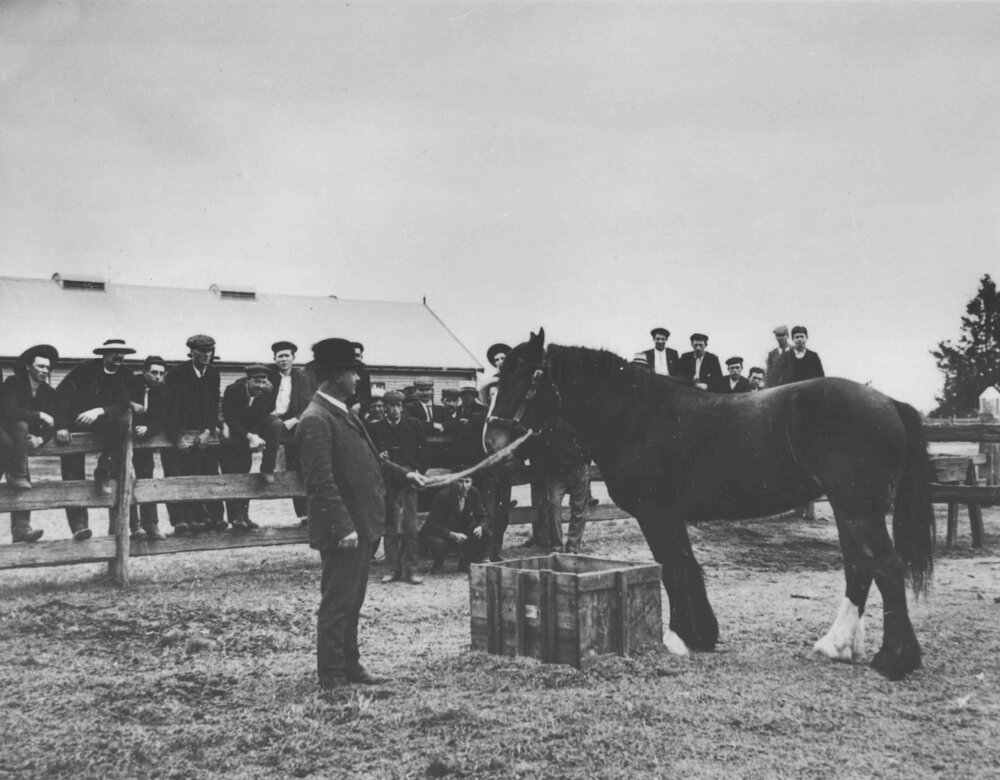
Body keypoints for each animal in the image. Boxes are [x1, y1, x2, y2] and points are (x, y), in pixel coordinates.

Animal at [483, 330, 935, 681]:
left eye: (530, 375)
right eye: (500, 375)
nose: (492, 441)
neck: (639, 416)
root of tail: (888, 402)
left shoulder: (657, 513)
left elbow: (673, 567)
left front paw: (681, 636)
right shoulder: (668, 515)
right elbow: (683, 565)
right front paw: (701, 634)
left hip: (858, 508)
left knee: (885, 567)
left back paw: (895, 659)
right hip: (849, 508)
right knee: (861, 567)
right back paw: (837, 644)